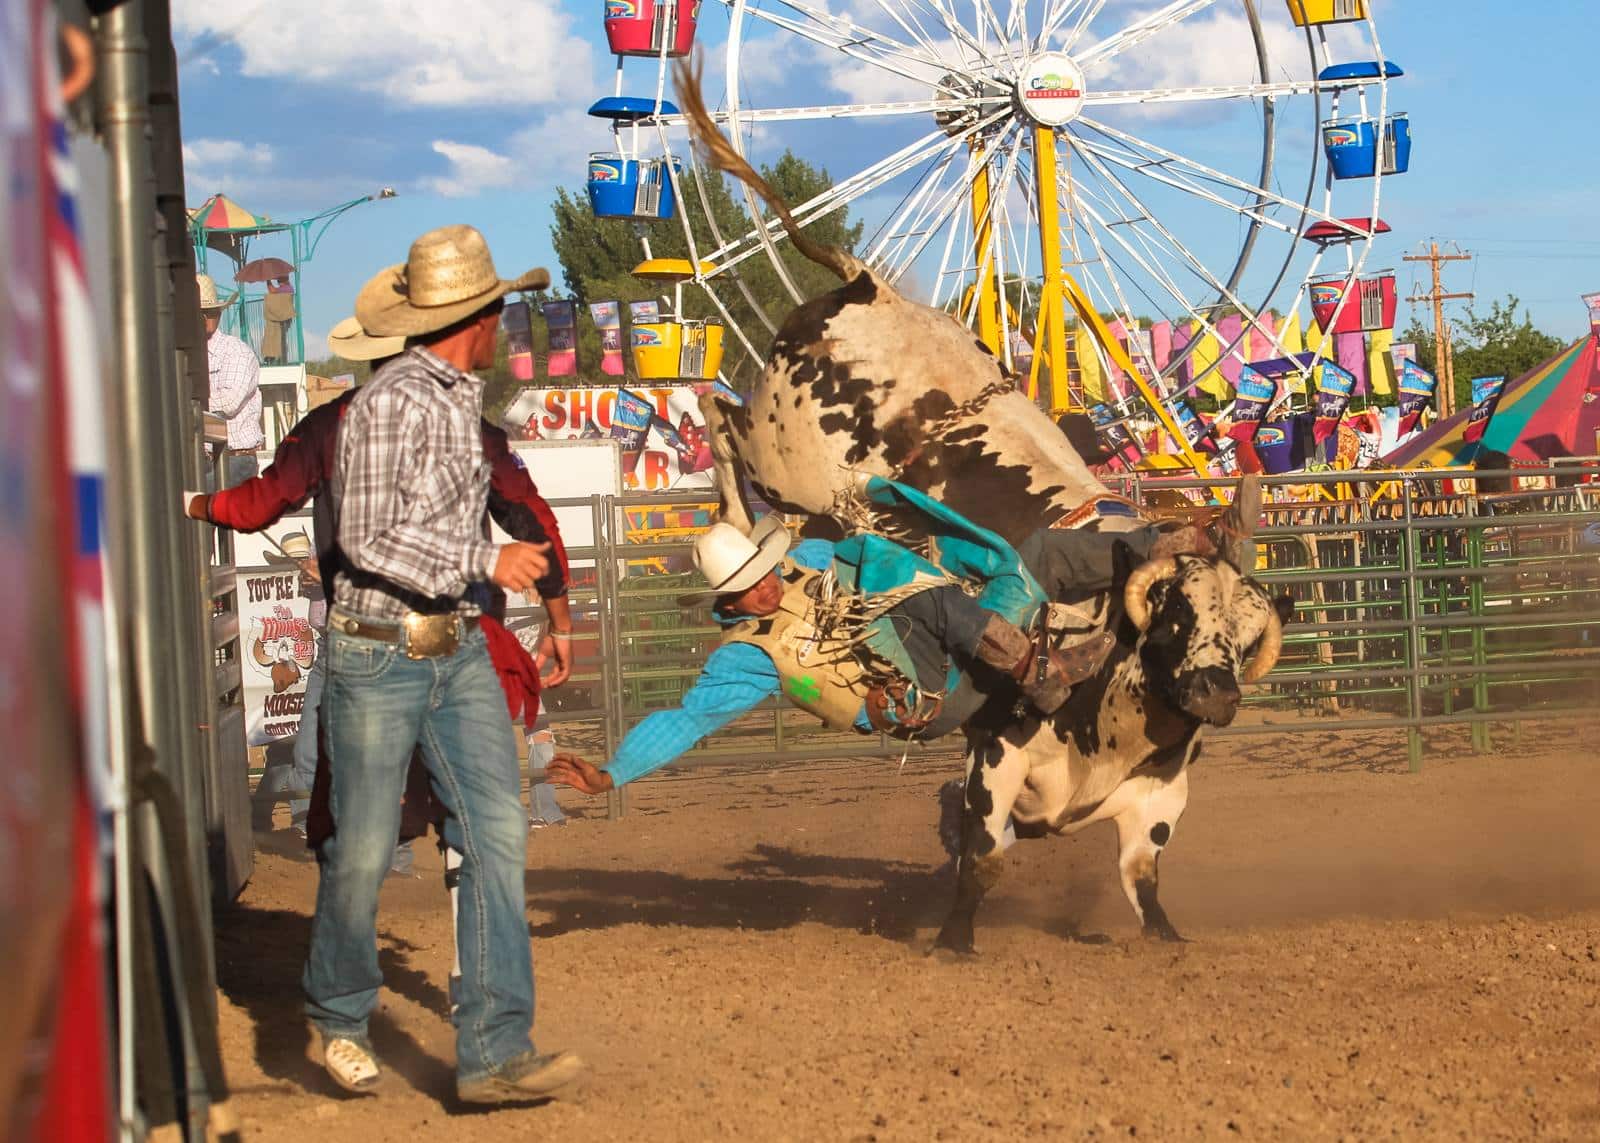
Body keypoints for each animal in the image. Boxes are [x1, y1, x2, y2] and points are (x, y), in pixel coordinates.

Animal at [672, 64, 1286, 954]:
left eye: (1244, 631)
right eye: (1173, 611)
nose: (1214, 694)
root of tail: (867, 287)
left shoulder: (1157, 797)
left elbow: (1143, 883)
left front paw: (1169, 941)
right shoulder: (995, 755)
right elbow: (982, 856)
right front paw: (954, 941)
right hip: (781, 458)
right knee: (717, 415)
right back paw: (739, 521)